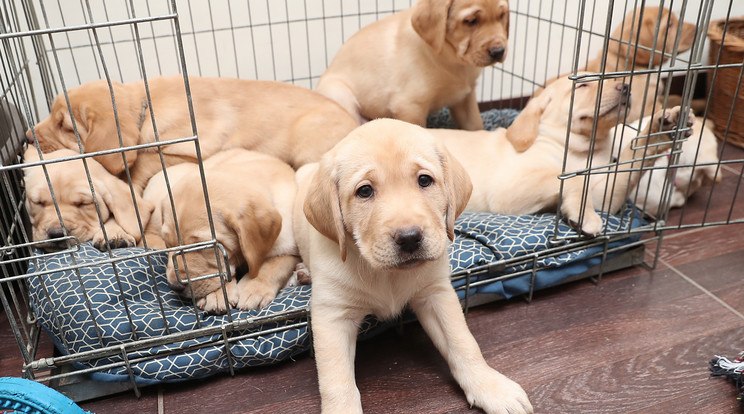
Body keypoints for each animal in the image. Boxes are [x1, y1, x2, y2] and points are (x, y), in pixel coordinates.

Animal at [143, 150, 300, 314]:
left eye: (202, 246)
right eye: (168, 244)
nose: (174, 286)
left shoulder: (291, 249)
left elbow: (273, 265)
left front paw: (253, 288)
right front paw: (216, 295)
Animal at [294, 119, 532, 414]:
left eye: (424, 180)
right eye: (364, 191)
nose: (409, 238)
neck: (387, 275)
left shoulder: (436, 294)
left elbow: (463, 342)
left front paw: (490, 386)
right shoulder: (332, 316)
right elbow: (336, 379)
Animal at [428, 75, 696, 234]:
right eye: (583, 84)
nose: (626, 86)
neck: (583, 150)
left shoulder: (605, 197)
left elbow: (631, 160)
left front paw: (661, 131)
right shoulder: (507, 190)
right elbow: (570, 178)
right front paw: (583, 215)